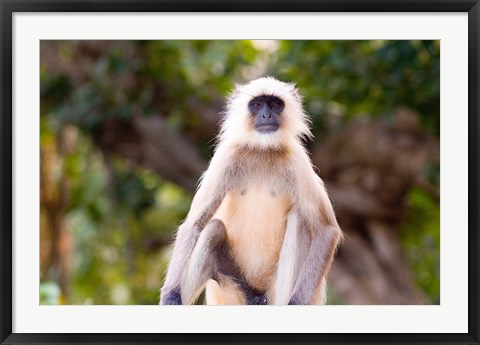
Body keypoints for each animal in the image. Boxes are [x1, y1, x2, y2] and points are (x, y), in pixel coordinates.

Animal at [159, 76, 344, 304]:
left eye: (274, 104)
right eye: (256, 105)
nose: (266, 115)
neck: (262, 150)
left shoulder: (298, 160)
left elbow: (327, 230)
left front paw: (295, 304)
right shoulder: (226, 156)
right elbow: (193, 225)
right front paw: (171, 297)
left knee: (299, 220)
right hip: (230, 292)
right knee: (213, 229)